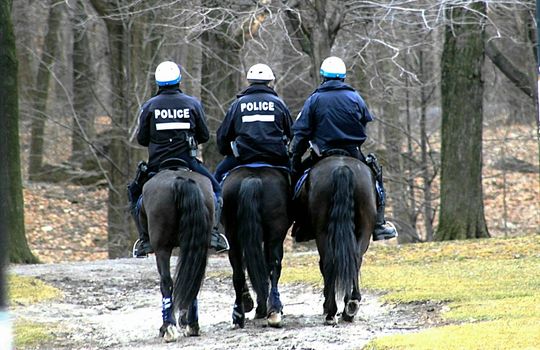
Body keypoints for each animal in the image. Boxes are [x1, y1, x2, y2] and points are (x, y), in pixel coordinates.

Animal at [139, 164, 213, 342]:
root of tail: (182, 180)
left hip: (162, 248)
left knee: (166, 282)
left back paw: (169, 327)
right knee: (194, 279)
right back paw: (191, 325)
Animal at [221, 165, 294, 330]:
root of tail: (252, 177)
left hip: (233, 237)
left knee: (239, 273)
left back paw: (238, 315)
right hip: (274, 236)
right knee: (273, 267)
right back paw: (273, 311)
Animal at [296, 156, 376, 326]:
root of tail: (342, 168)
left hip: (323, 232)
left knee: (331, 262)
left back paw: (333, 310)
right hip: (363, 229)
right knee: (354, 259)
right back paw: (350, 305)